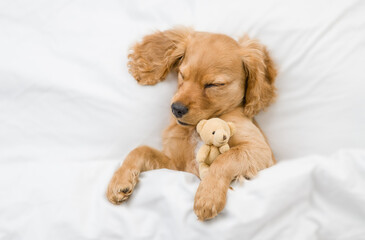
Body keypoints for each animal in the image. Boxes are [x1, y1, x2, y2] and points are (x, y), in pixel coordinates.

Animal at [106, 27, 278, 221]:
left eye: (214, 84)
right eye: (182, 74)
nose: (176, 109)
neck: (197, 127)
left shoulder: (260, 150)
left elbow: (225, 158)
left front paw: (208, 196)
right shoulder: (176, 165)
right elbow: (141, 150)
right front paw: (120, 181)